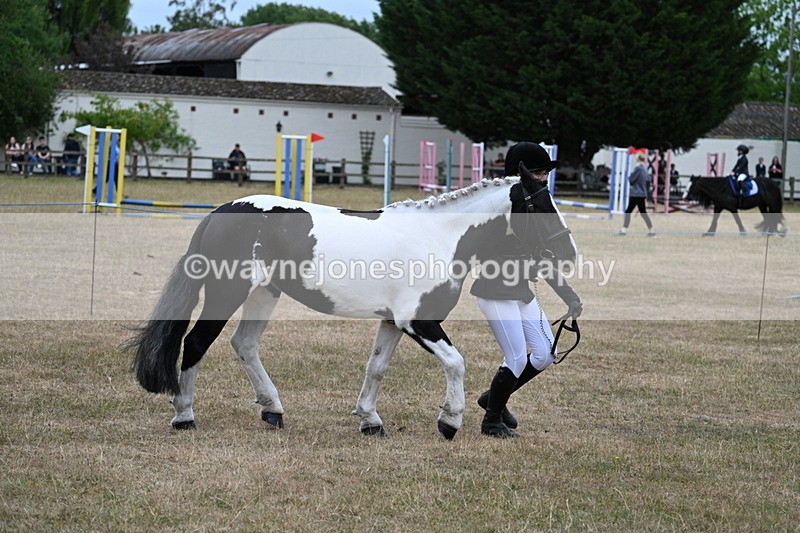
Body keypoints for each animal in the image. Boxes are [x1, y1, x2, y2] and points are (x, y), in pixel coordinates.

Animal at [125, 163, 578, 440]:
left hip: (264, 293)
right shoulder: (417, 321)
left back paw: (273, 410)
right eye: (538, 203)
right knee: (196, 344)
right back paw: (184, 416)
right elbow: (455, 362)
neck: (439, 237)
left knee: (245, 345)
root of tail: (220, 212)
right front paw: (449, 421)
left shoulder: (393, 323)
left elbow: (376, 368)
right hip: (227, 291)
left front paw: (370, 420)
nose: (569, 255)